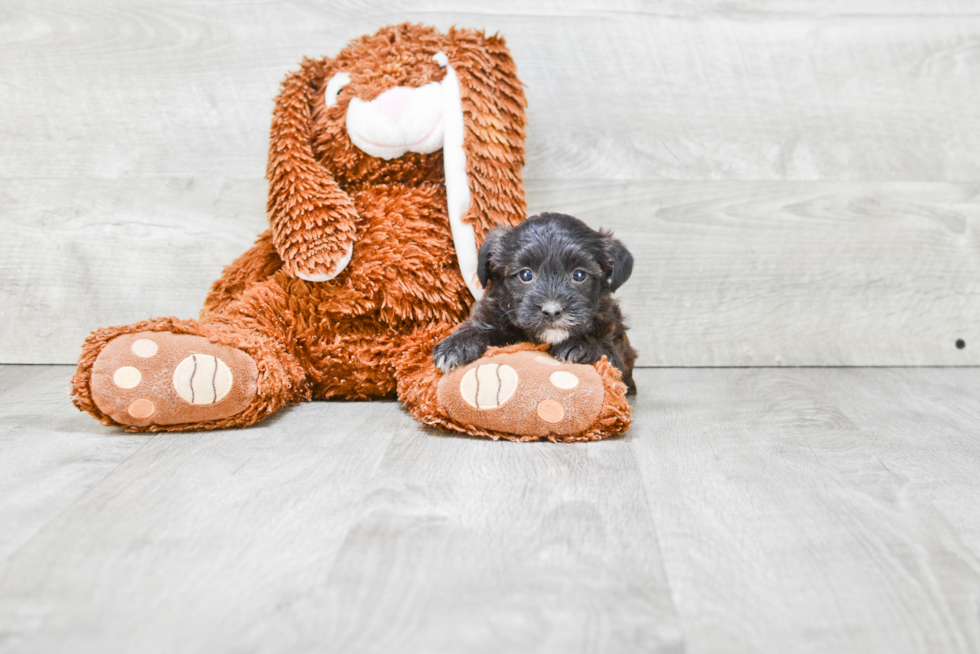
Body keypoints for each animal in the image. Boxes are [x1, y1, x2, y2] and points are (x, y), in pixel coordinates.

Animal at [434, 214, 636, 394]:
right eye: (526, 275)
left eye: (579, 275)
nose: (552, 311)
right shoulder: (493, 313)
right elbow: (478, 327)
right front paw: (457, 344)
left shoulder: (616, 351)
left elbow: (606, 352)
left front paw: (582, 345)